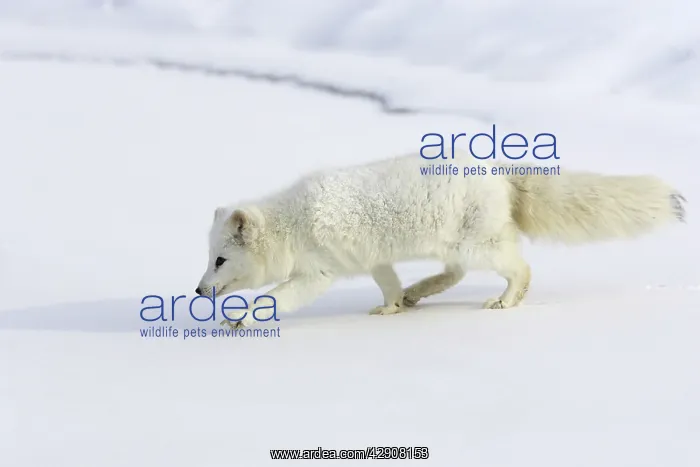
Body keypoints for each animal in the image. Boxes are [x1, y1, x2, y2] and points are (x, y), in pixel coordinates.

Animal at [195, 153, 686, 328]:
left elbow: (276, 298)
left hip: (477, 245)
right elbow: (388, 283)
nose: (198, 291)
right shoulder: (374, 258)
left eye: (220, 260)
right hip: (455, 246)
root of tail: (501, 173)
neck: (292, 223)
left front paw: (242, 320)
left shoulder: (318, 273)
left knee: (519, 268)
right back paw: (416, 294)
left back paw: (505, 301)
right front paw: (392, 307)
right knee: (454, 275)